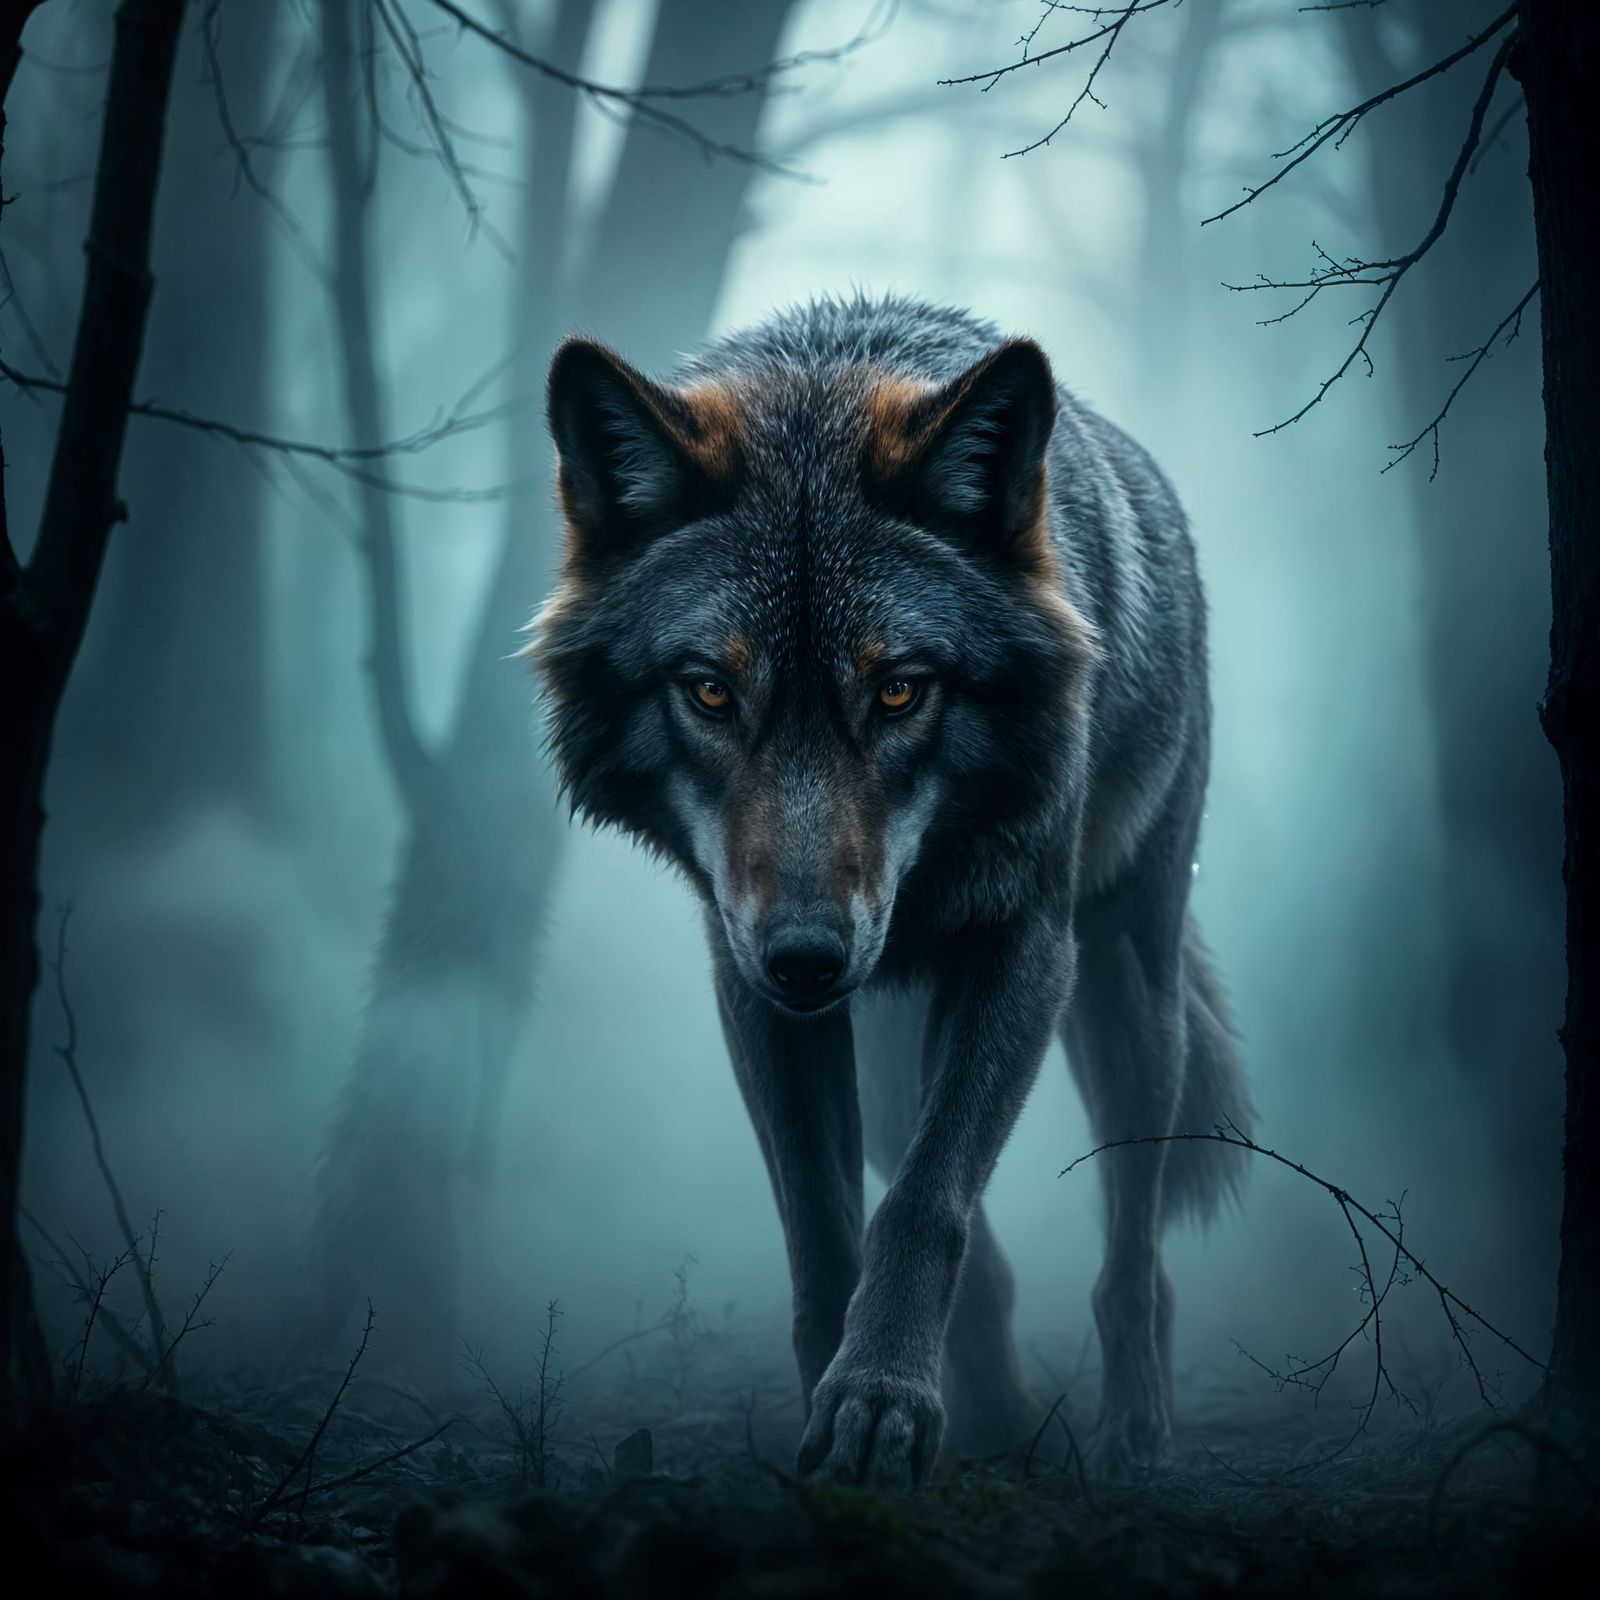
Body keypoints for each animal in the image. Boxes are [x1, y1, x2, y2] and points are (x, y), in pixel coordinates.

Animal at [529, 295, 1252, 1488]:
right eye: (711, 692)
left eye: (900, 689)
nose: (807, 956)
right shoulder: (753, 989)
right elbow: (827, 1228)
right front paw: (843, 1418)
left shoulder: (1022, 949)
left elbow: (923, 1204)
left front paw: (879, 1400)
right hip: (879, 1040)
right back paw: (1006, 1423)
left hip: (1126, 994)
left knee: (1133, 1248)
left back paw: (1132, 1433)